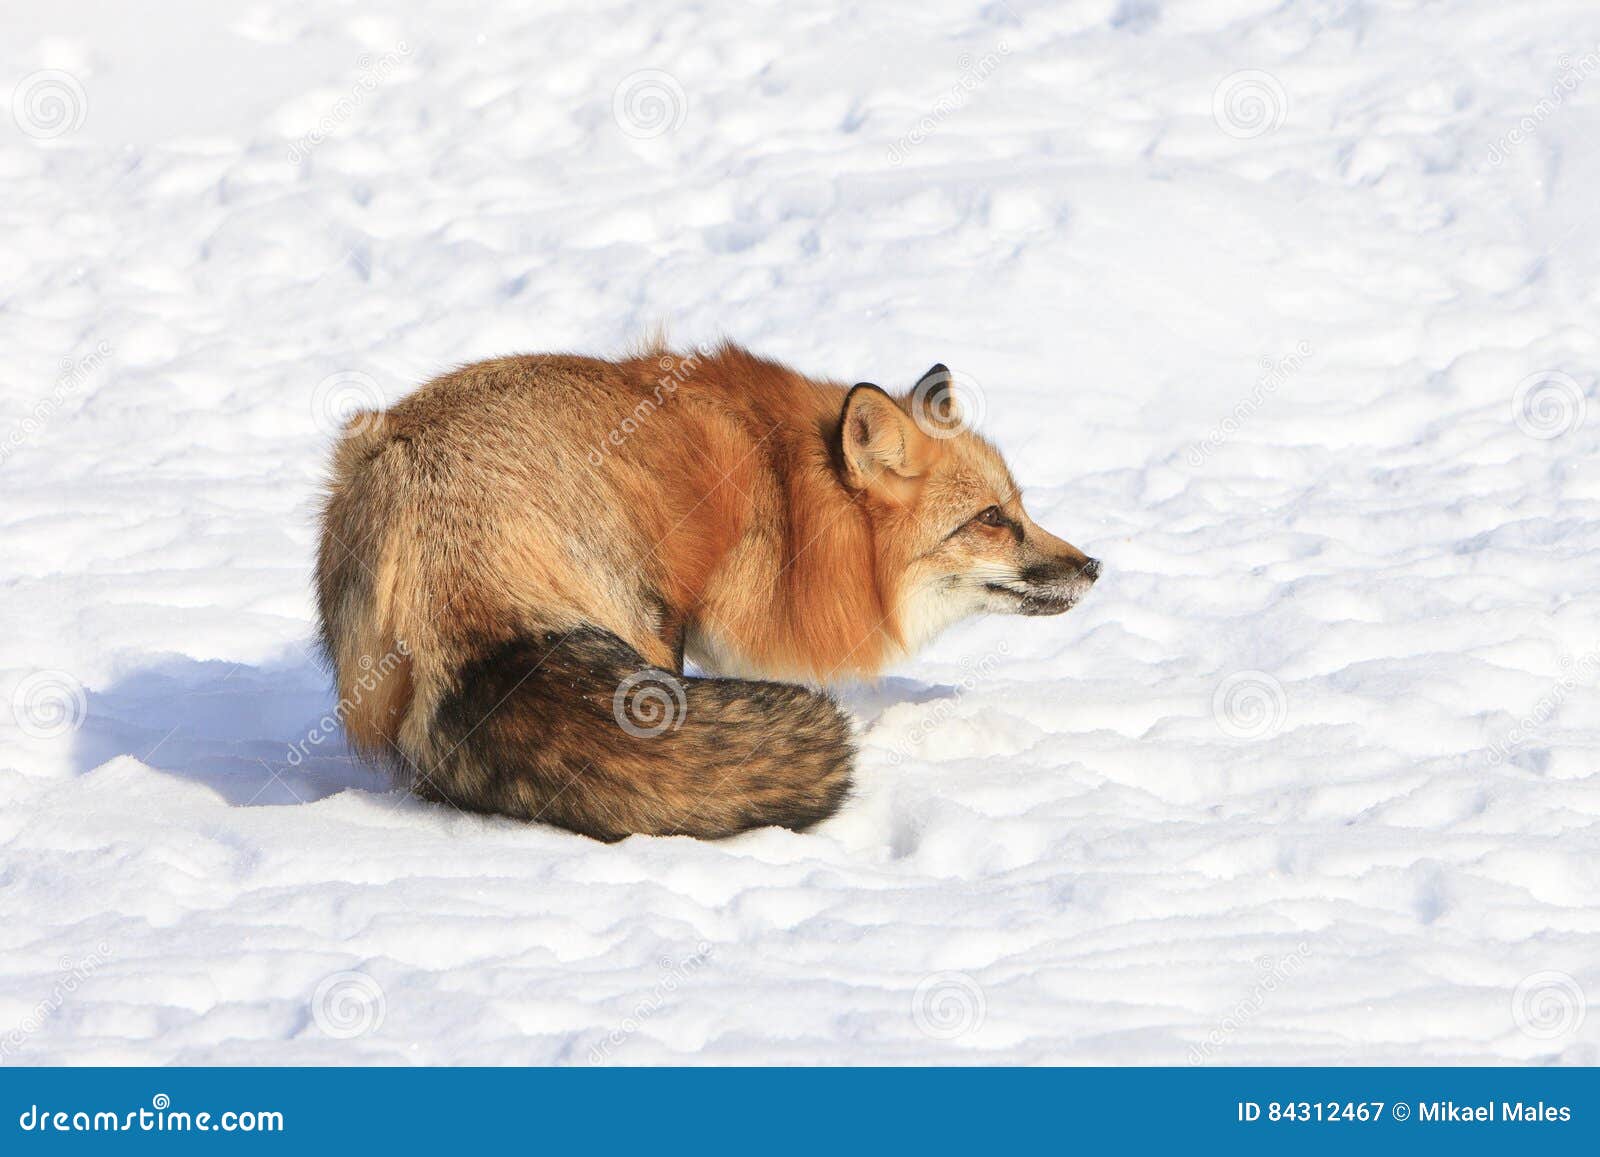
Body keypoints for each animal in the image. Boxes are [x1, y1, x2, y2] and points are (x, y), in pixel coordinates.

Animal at [312, 339, 1094, 838]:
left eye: (1020, 509)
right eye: (990, 520)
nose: (1094, 567)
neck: (787, 497)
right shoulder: (676, 612)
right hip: (634, 619)